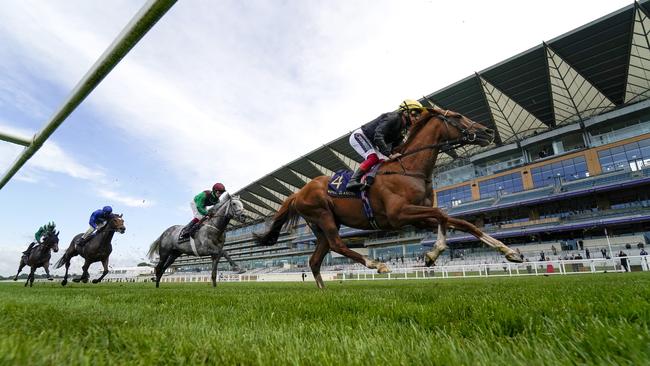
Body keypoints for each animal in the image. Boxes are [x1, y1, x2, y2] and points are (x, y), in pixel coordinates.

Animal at [256, 107, 524, 288]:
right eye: (457, 116)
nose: (487, 131)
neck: (409, 168)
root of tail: (298, 192)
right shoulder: (399, 214)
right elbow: (442, 214)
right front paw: (434, 253)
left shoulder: (417, 217)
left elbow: (459, 222)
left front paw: (510, 252)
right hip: (323, 216)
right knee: (337, 245)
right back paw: (377, 264)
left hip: (321, 225)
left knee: (314, 259)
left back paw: (324, 290)